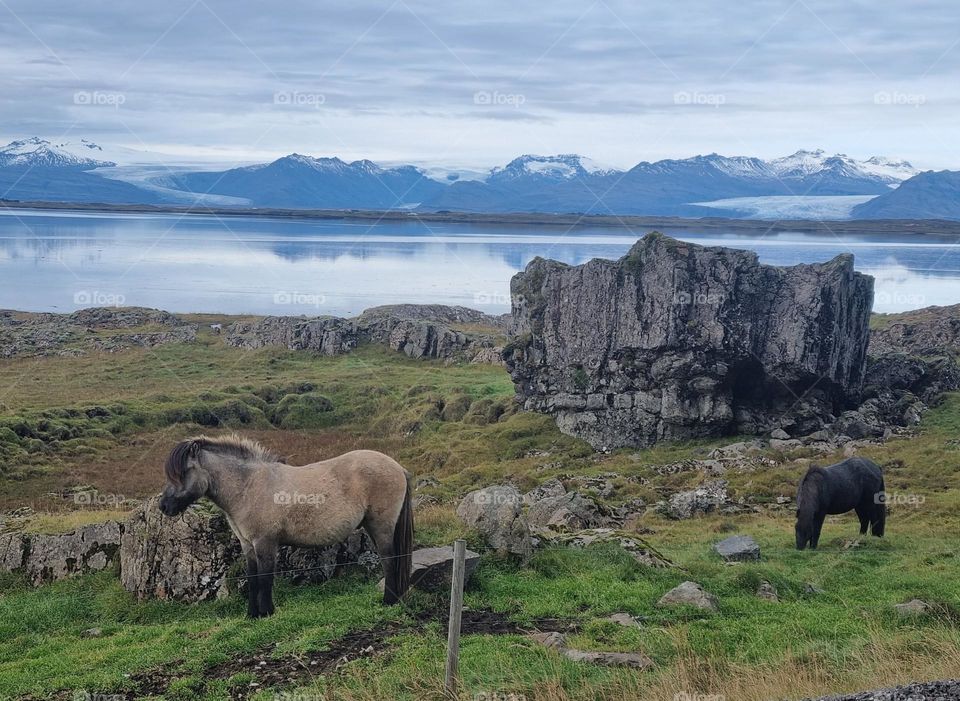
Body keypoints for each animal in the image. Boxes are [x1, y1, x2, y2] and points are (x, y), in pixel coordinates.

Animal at [159, 434, 413, 617]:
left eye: (183, 472)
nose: (164, 506)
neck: (248, 486)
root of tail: (398, 468)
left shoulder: (265, 543)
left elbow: (265, 579)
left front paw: (266, 612)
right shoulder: (248, 545)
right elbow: (253, 579)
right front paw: (252, 615)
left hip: (381, 526)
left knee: (389, 559)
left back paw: (389, 601)